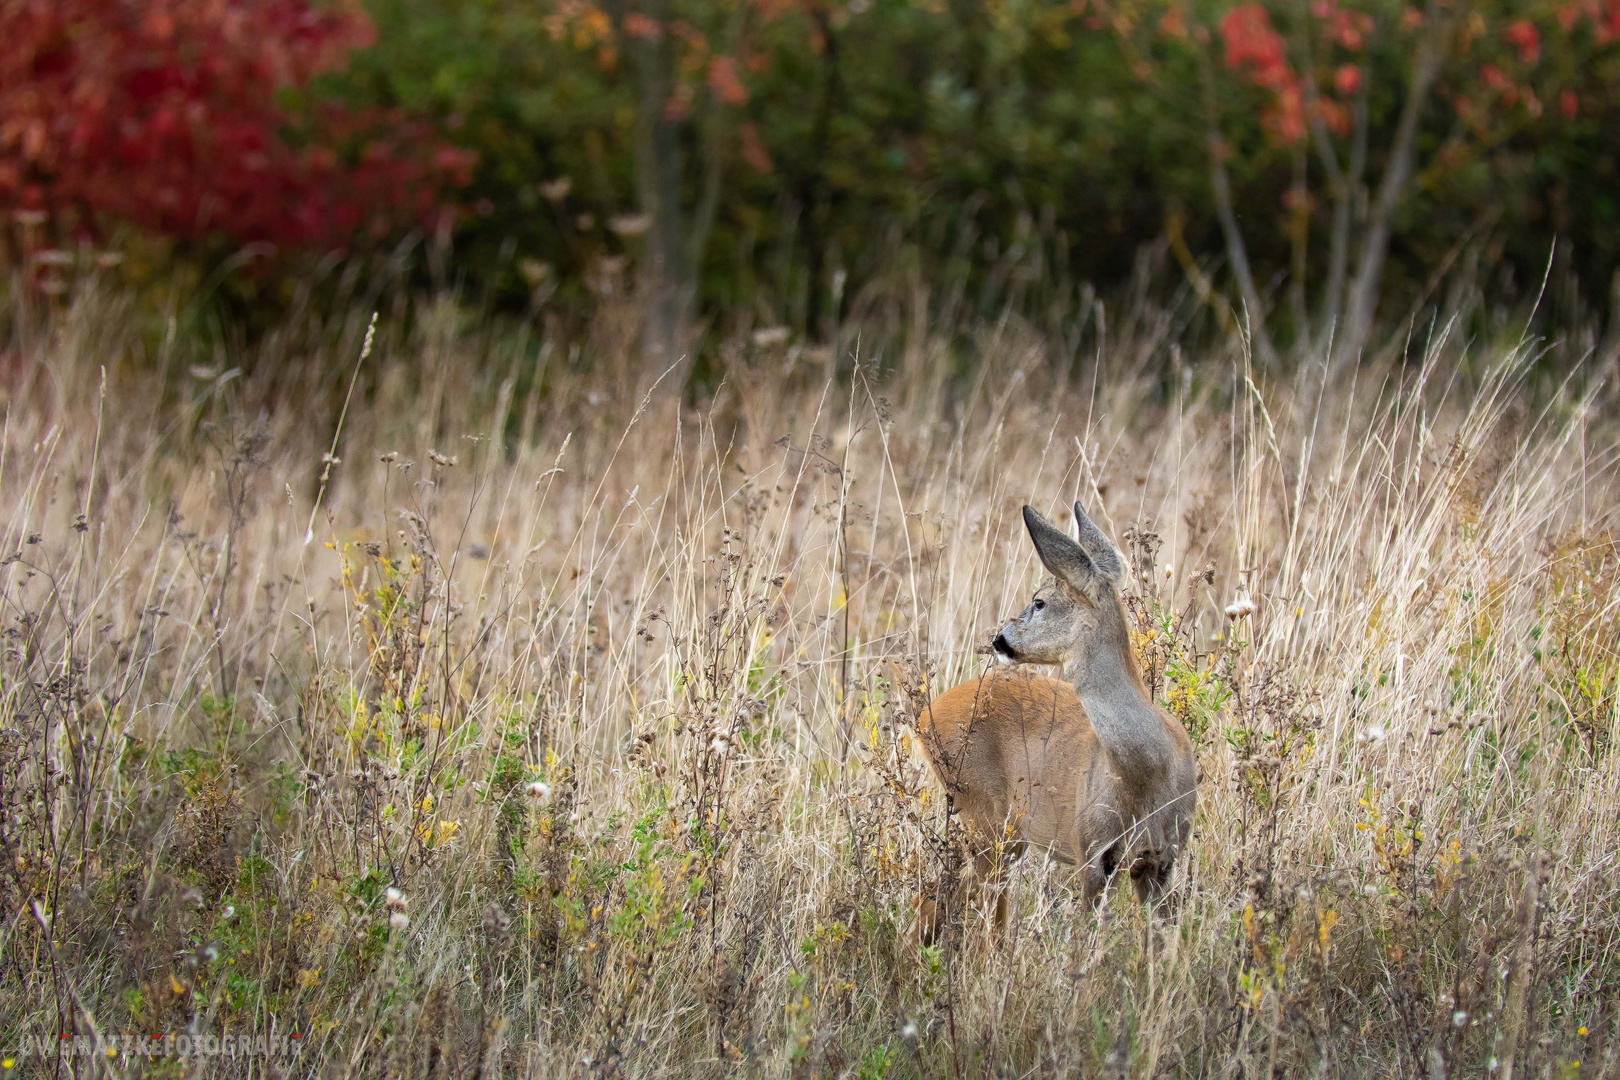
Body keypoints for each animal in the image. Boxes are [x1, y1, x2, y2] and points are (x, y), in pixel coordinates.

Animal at [920, 505, 1198, 939]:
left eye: (1040, 601)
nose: (1000, 639)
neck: (1147, 770)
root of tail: (923, 715)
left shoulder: (1162, 858)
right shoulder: (1092, 851)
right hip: (984, 815)